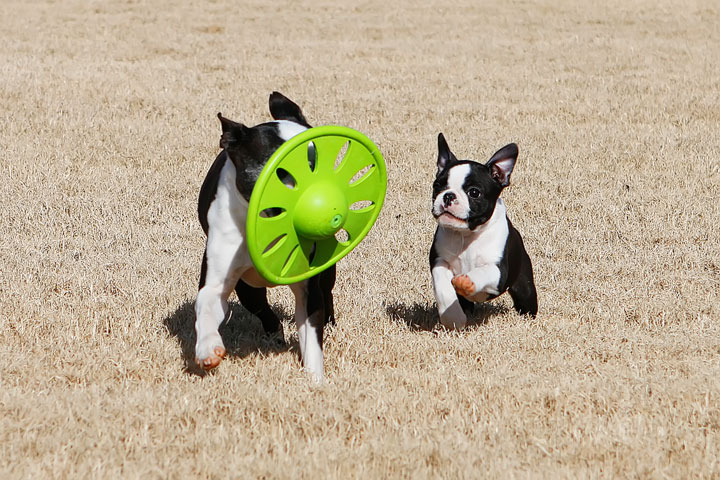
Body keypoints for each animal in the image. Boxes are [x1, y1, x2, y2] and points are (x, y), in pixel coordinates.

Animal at [194, 92, 334, 380]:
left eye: (317, 162)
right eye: (280, 170)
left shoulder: (309, 289)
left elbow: (312, 338)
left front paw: (315, 380)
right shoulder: (219, 280)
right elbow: (206, 307)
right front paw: (207, 350)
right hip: (248, 289)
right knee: (264, 311)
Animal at [428, 131, 536, 328]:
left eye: (474, 192)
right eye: (437, 186)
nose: (448, 196)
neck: (467, 235)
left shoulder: (498, 272)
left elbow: (482, 272)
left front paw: (467, 281)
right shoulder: (439, 260)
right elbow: (443, 287)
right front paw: (453, 318)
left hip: (524, 287)